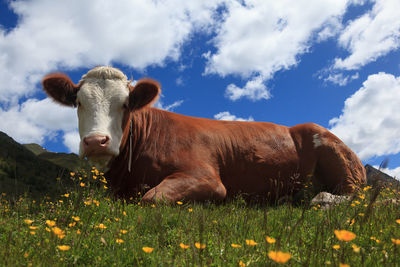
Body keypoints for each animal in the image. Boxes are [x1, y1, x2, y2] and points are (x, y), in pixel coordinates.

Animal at [42, 66, 368, 203]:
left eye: (125, 104)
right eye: (78, 103)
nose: (96, 141)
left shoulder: (205, 177)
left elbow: (151, 198)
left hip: (333, 152)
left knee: (353, 197)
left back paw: (321, 199)